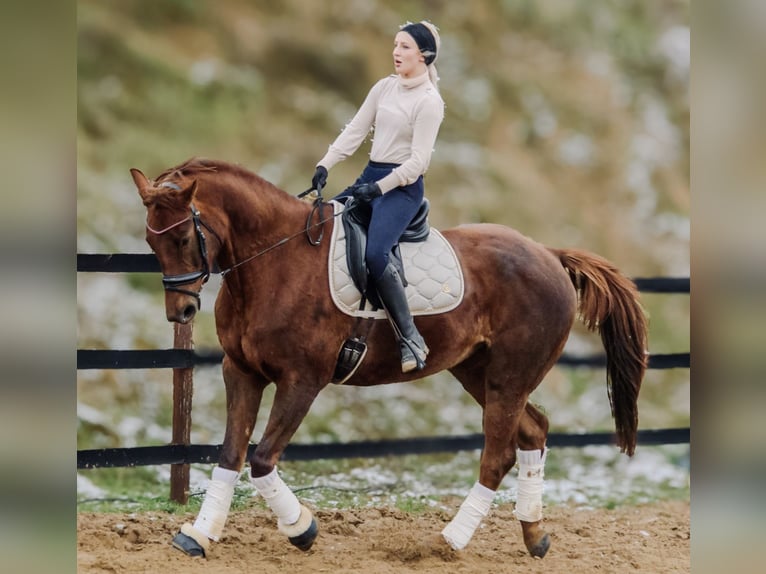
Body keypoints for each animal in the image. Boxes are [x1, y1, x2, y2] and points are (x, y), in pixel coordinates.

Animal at [130, 157, 648, 559]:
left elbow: (260, 459)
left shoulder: (302, 380)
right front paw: (198, 535)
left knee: (498, 453)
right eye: (151, 242)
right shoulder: (241, 372)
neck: (273, 262)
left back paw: (450, 541)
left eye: (182, 239)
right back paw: (534, 535)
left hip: (508, 378)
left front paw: (302, 529)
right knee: (533, 432)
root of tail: (549, 254)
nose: (181, 312)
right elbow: (231, 455)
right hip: (478, 372)